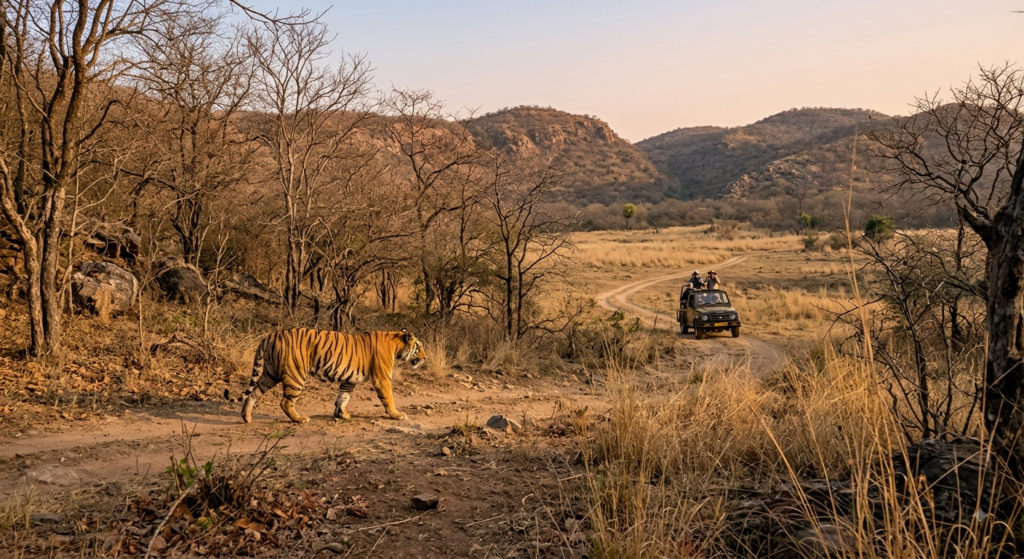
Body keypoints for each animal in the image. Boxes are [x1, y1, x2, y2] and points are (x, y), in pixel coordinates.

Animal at [240, 328, 425, 424]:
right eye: (419, 347)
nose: (424, 358)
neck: (397, 344)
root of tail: (271, 335)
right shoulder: (382, 378)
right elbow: (389, 398)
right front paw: (397, 415)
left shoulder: (349, 379)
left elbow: (342, 397)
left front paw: (342, 414)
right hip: (295, 375)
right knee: (285, 401)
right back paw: (300, 419)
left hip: (270, 374)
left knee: (253, 393)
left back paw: (246, 417)